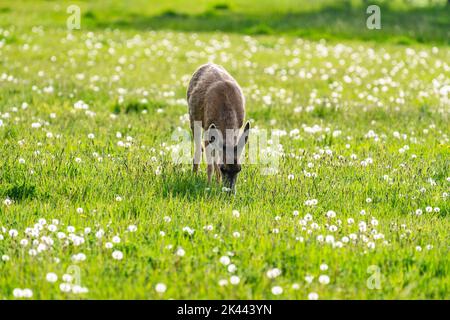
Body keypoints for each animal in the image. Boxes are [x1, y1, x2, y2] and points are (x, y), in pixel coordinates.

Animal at [186, 63, 250, 191]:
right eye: (223, 168)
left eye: (239, 169)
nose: (230, 192)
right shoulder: (208, 127)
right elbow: (210, 164)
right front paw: (208, 185)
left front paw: (217, 183)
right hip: (194, 118)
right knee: (199, 149)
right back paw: (194, 176)